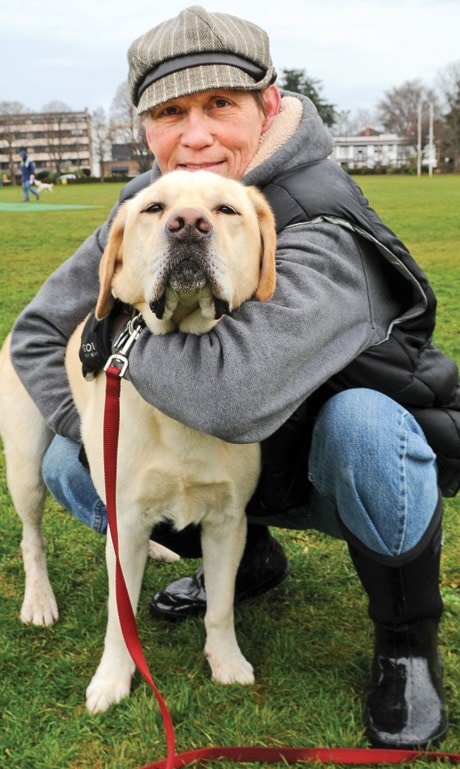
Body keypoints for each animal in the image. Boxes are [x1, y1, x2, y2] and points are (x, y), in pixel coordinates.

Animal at [0, 170, 274, 712]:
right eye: (154, 208)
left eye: (226, 210)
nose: (188, 225)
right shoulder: (125, 510)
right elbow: (118, 617)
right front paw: (112, 678)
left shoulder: (228, 519)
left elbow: (222, 605)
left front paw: (226, 661)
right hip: (25, 467)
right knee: (31, 538)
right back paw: (39, 600)